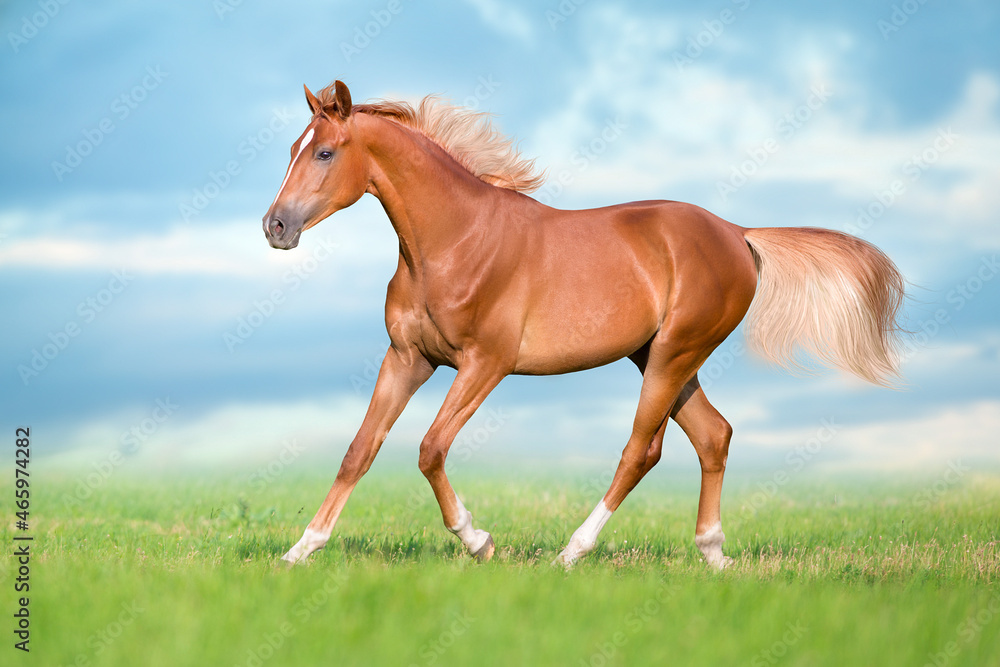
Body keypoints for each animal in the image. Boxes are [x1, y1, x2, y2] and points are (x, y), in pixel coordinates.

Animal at [263, 80, 905, 568]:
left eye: (324, 153)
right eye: (292, 147)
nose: (275, 227)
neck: (454, 241)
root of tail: (738, 233)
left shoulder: (485, 363)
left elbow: (430, 447)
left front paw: (480, 541)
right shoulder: (407, 359)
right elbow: (359, 450)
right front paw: (300, 550)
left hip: (674, 354)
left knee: (642, 450)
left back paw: (572, 552)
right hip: (661, 357)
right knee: (713, 435)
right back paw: (713, 554)